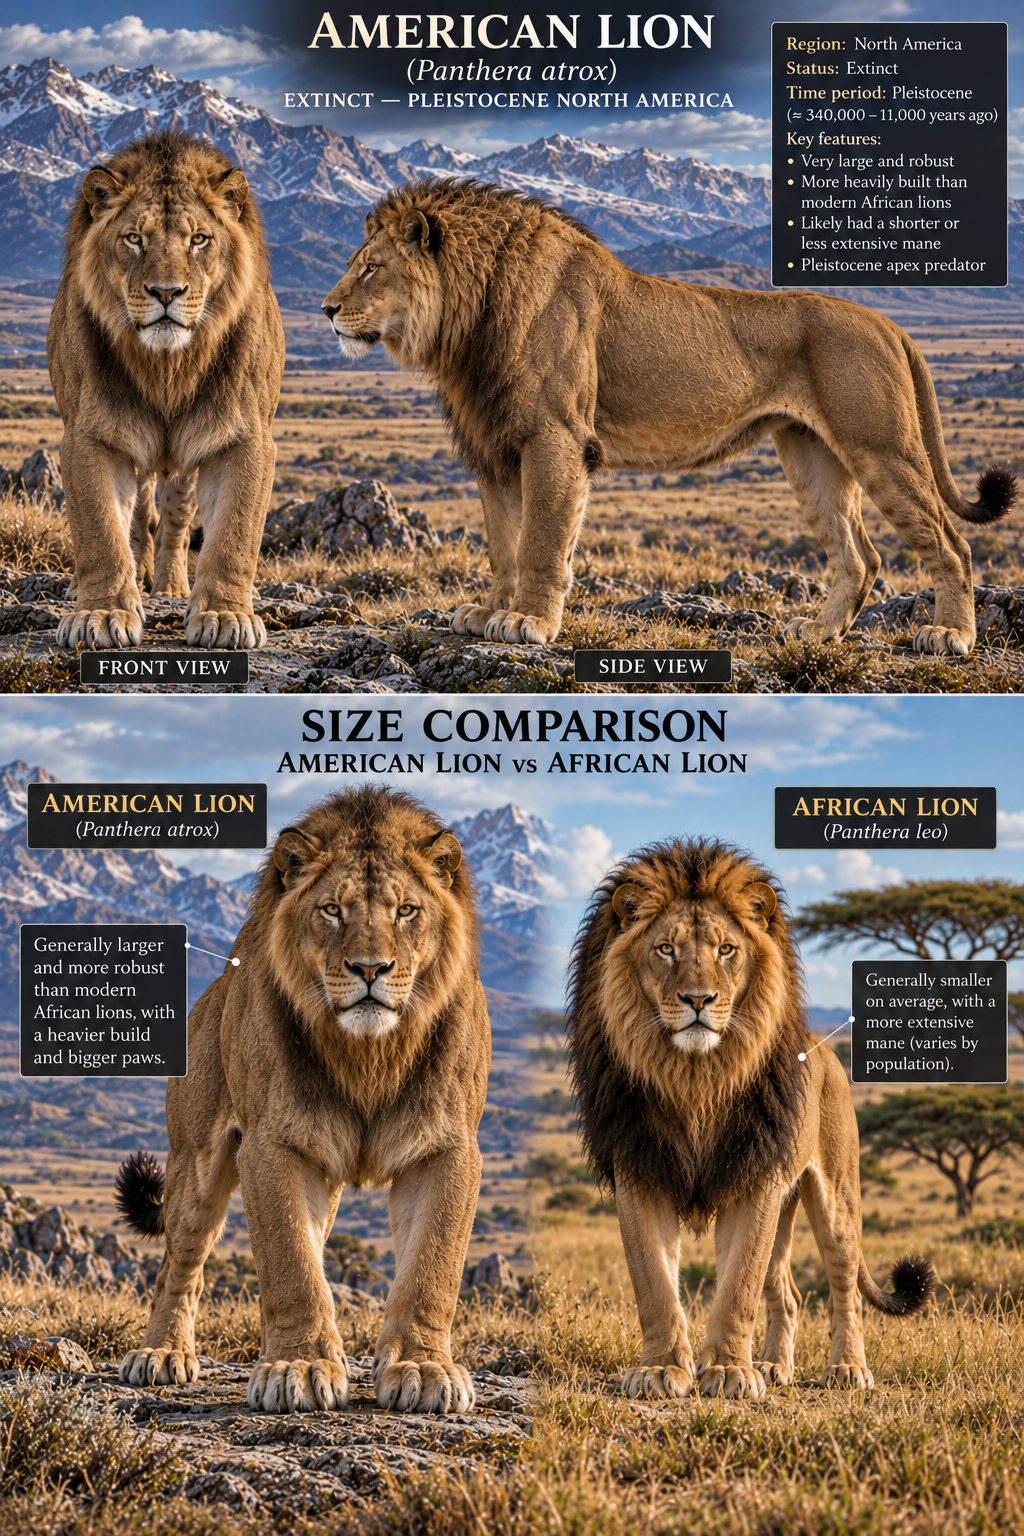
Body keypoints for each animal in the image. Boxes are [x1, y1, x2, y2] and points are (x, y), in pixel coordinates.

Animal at [47, 130, 284, 650]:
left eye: (199, 240)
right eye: (134, 239)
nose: (166, 292)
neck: (167, 367)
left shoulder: (244, 435)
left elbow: (235, 533)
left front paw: (225, 613)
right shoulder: (90, 435)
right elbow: (100, 529)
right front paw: (102, 612)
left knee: (175, 520)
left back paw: (173, 586)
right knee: (137, 518)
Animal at [115, 785, 490, 1415]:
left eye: (406, 911)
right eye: (332, 910)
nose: (370, 969)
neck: (369, 1056)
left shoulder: (447, 1147)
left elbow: (431, 1268)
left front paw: (422, 1367)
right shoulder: (272, 1144)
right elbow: (290, 1263)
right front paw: (300, 1366)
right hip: (195, 1163)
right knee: (179, 1263)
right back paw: (161, 1354)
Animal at [321, 180, 1015, 656]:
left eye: (371, 267)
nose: (325, 310)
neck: (467, 322)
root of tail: (887, 320)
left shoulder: (555, 436)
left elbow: (542, 540)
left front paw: (528, 622)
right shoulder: (493, 447)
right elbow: (503, 545)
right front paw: (487, 612)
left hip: (882, 448)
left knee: (952, 544)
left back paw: (950, 637)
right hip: (810, 455)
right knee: (859, 557)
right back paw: (815, 633)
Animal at [565, 838, 935, 1400]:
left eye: (726, 950)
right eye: (666, 949)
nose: (699, 1000)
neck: (695, 1079)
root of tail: (826, 1051)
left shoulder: (754, 1175)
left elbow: (738, 1285)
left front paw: (727, 1371)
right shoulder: (640, 1168)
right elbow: (654, 1283)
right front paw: (661, 1369)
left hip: (835, 1199)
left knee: (844, 1286)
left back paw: (847, 1370)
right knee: (788, 1293)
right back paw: (773, 1366)